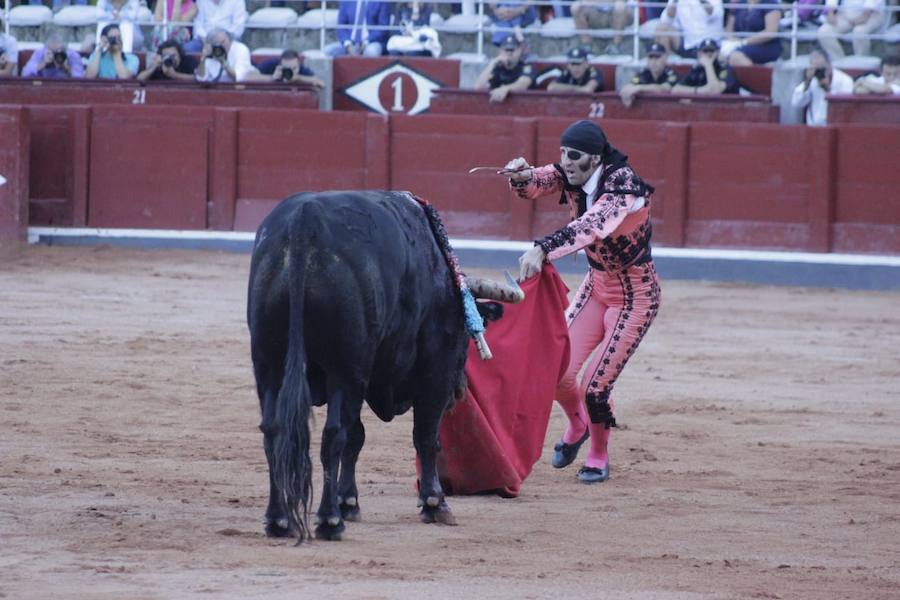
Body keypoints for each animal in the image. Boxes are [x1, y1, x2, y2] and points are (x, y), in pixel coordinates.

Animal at [250, 190, 524, 540]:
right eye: (466, 334)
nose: (460, 391)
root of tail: (304, 221)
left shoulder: (361, 376)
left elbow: (358, 436)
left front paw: (349, 502)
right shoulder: (432, 372)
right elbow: (425, 436)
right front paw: (435, 503)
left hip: (269, 364)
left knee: (275, 429)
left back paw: (278, 520)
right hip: (344, 369)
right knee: (332, 434)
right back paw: (328, 521)